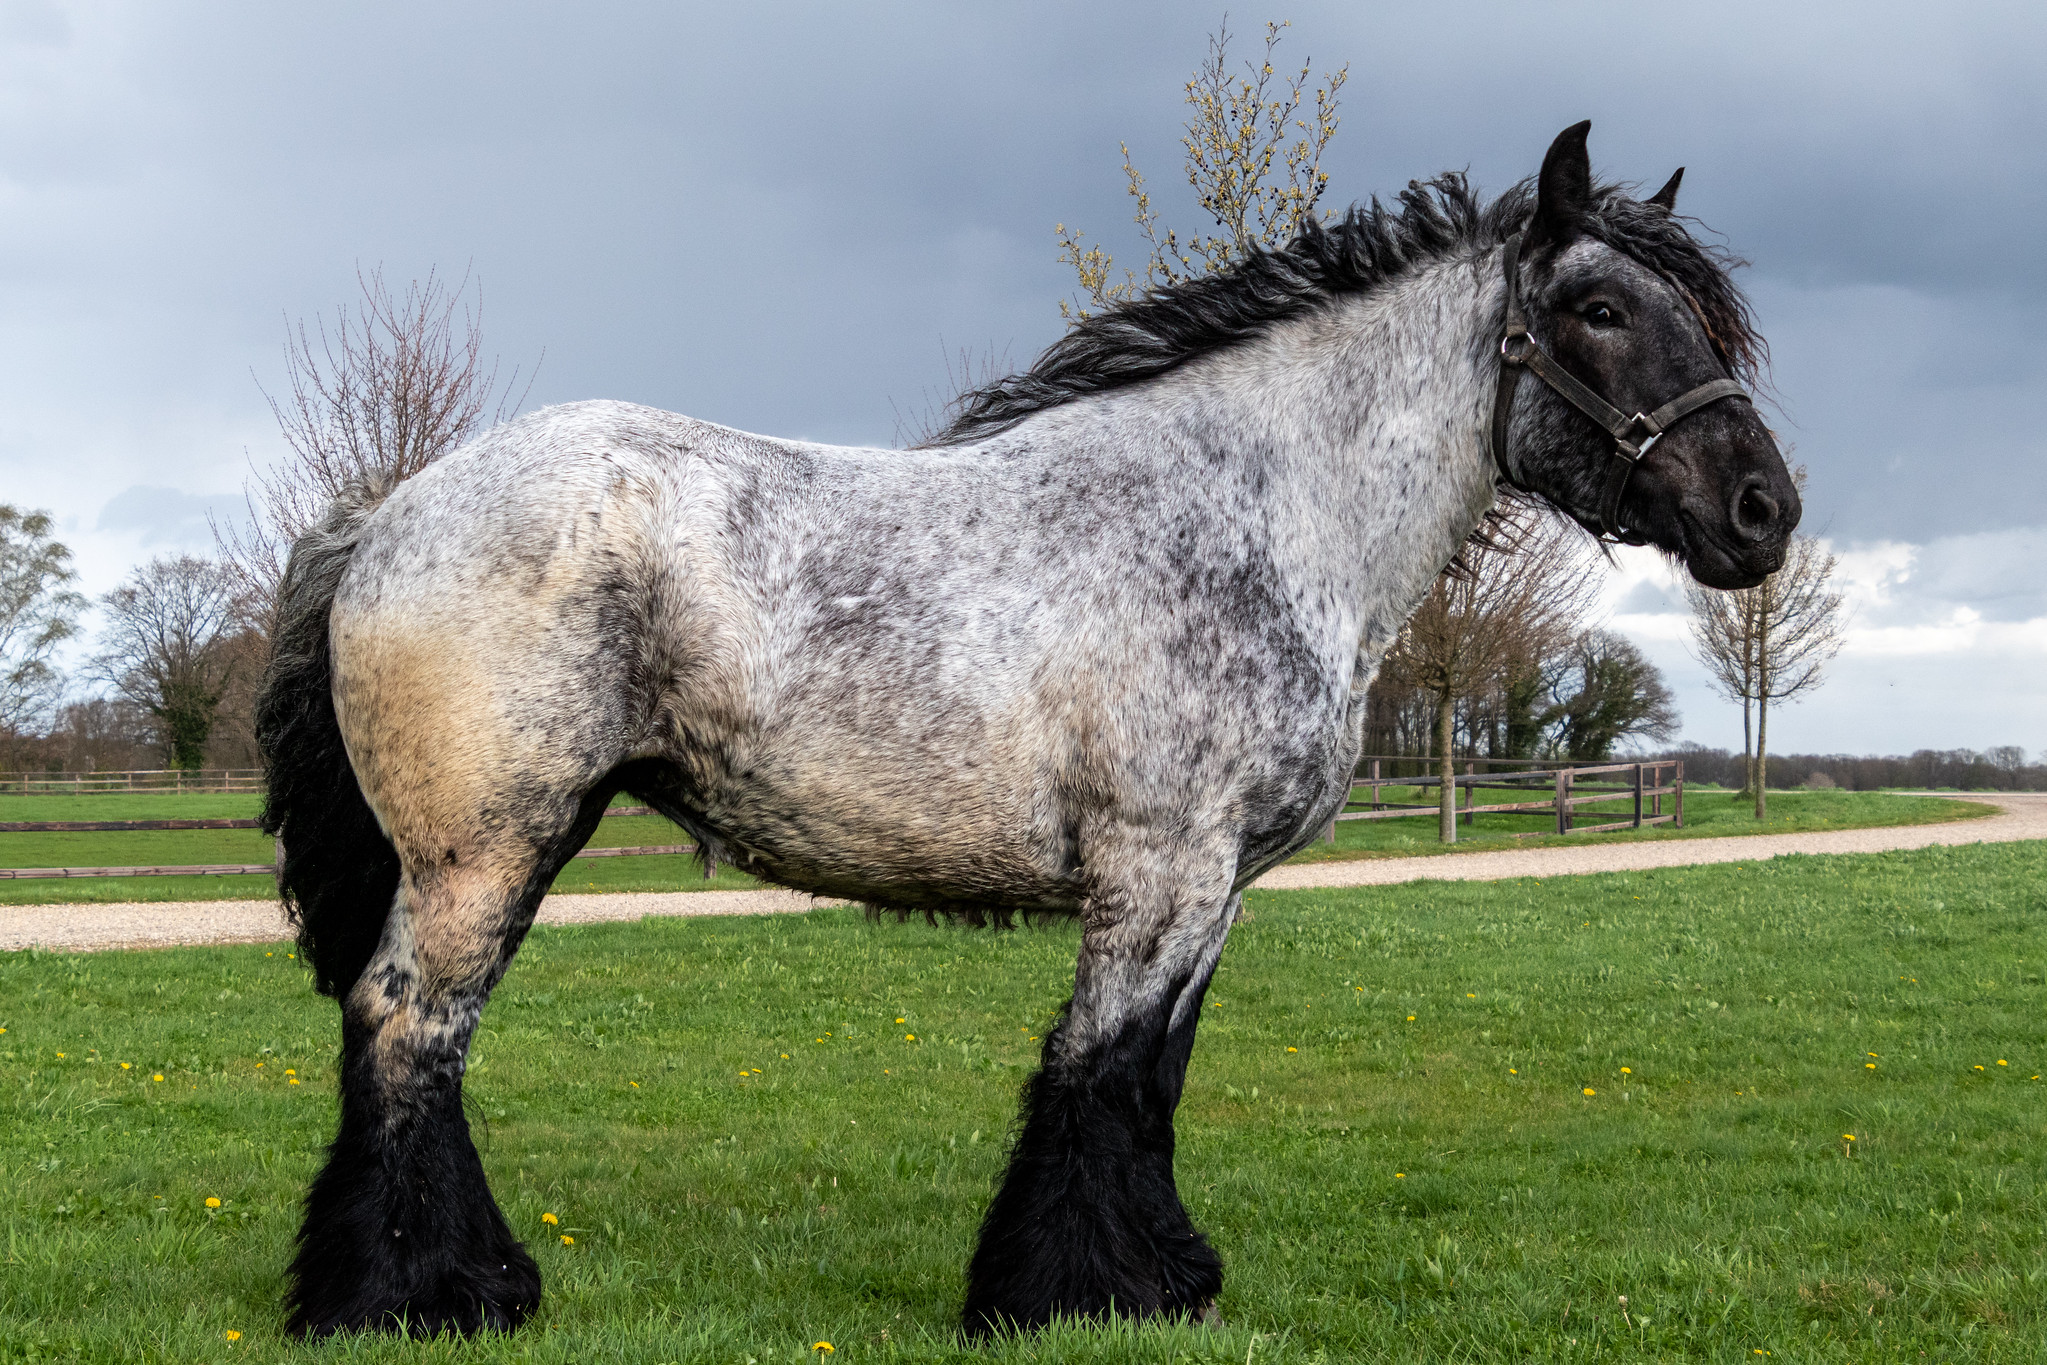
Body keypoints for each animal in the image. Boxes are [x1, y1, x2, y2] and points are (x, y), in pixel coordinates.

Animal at [259, 122, 1809, 1342]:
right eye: (1596, 307)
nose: (1761, 511)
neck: (1252, 513)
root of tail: (392, 512)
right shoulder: (1157, 876)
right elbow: (1094, 1071)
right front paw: (1064, 1291)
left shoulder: (1213, 894)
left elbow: (1153, 1079)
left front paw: (1163, 1278)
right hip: (480, 854)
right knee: (409, 1029)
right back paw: (423, 1295)